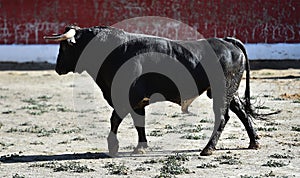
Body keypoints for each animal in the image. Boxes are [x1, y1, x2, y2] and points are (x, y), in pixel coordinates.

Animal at [44, 25, 260, 156]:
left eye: (64, 47)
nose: (57, 68)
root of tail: (227, 41)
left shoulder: (127, 97)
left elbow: (115, 119)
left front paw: (113, 147)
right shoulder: (138, 101)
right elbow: (139, 123)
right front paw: (141, 147)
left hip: (221, 91)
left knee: (222, 116)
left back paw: (208, 149)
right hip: (229, 91)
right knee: (241, 111)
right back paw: (254, 142)